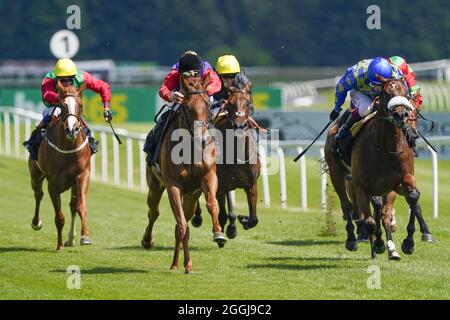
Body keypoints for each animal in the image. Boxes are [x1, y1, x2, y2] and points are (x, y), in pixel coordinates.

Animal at [28, 82, 92, 250]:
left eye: (80, 105)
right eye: (62, 106)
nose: (72, 129)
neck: (68, 148)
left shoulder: (82, 175)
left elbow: (81, 206)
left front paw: (85, 236)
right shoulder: (53, 184)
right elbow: (59, 216)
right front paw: (59, 246)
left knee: (73, 205)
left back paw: (71, 238)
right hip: (35, 175)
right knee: (38, 194)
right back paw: (36, 223)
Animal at [141, 72, 225, 272]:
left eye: (207, 104)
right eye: (186, 106)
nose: (203, 139)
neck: (190, 149)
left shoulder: (208, 177)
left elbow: (212, 204)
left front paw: (218, 233)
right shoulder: (173, 186)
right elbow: (182, 226)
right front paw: (189, 264)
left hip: (191, 197)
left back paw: (175, 263)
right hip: (155, 186)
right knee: (154, 212)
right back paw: (149, 242)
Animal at [326, 77, 428, 260]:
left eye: (406, 93)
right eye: (386, 93)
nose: (400, 115)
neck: (387, 148)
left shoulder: (400, 182)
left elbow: (413, 197)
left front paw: (408, 243)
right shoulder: (361, 186)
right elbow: (370, 220)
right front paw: (378, 243)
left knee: (382, 211)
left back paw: (390, 247)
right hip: (337, 174)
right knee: (348, 206)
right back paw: (353, 239)